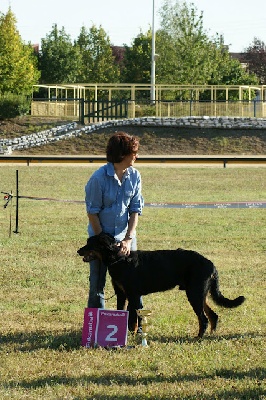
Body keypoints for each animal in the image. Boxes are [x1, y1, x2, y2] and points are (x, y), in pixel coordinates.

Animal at [77, 233, 245, 340]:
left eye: (90, 243)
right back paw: (210, 335)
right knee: (213, 315)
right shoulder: (122, 294)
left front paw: (132, 336)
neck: (120, 259)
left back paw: (198, 337)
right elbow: (124, 314)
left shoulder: (133, 295)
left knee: (203, 318)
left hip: (194, 294)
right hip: (199, 294)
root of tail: (211, 264)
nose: (78, 251)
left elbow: (133, 319)